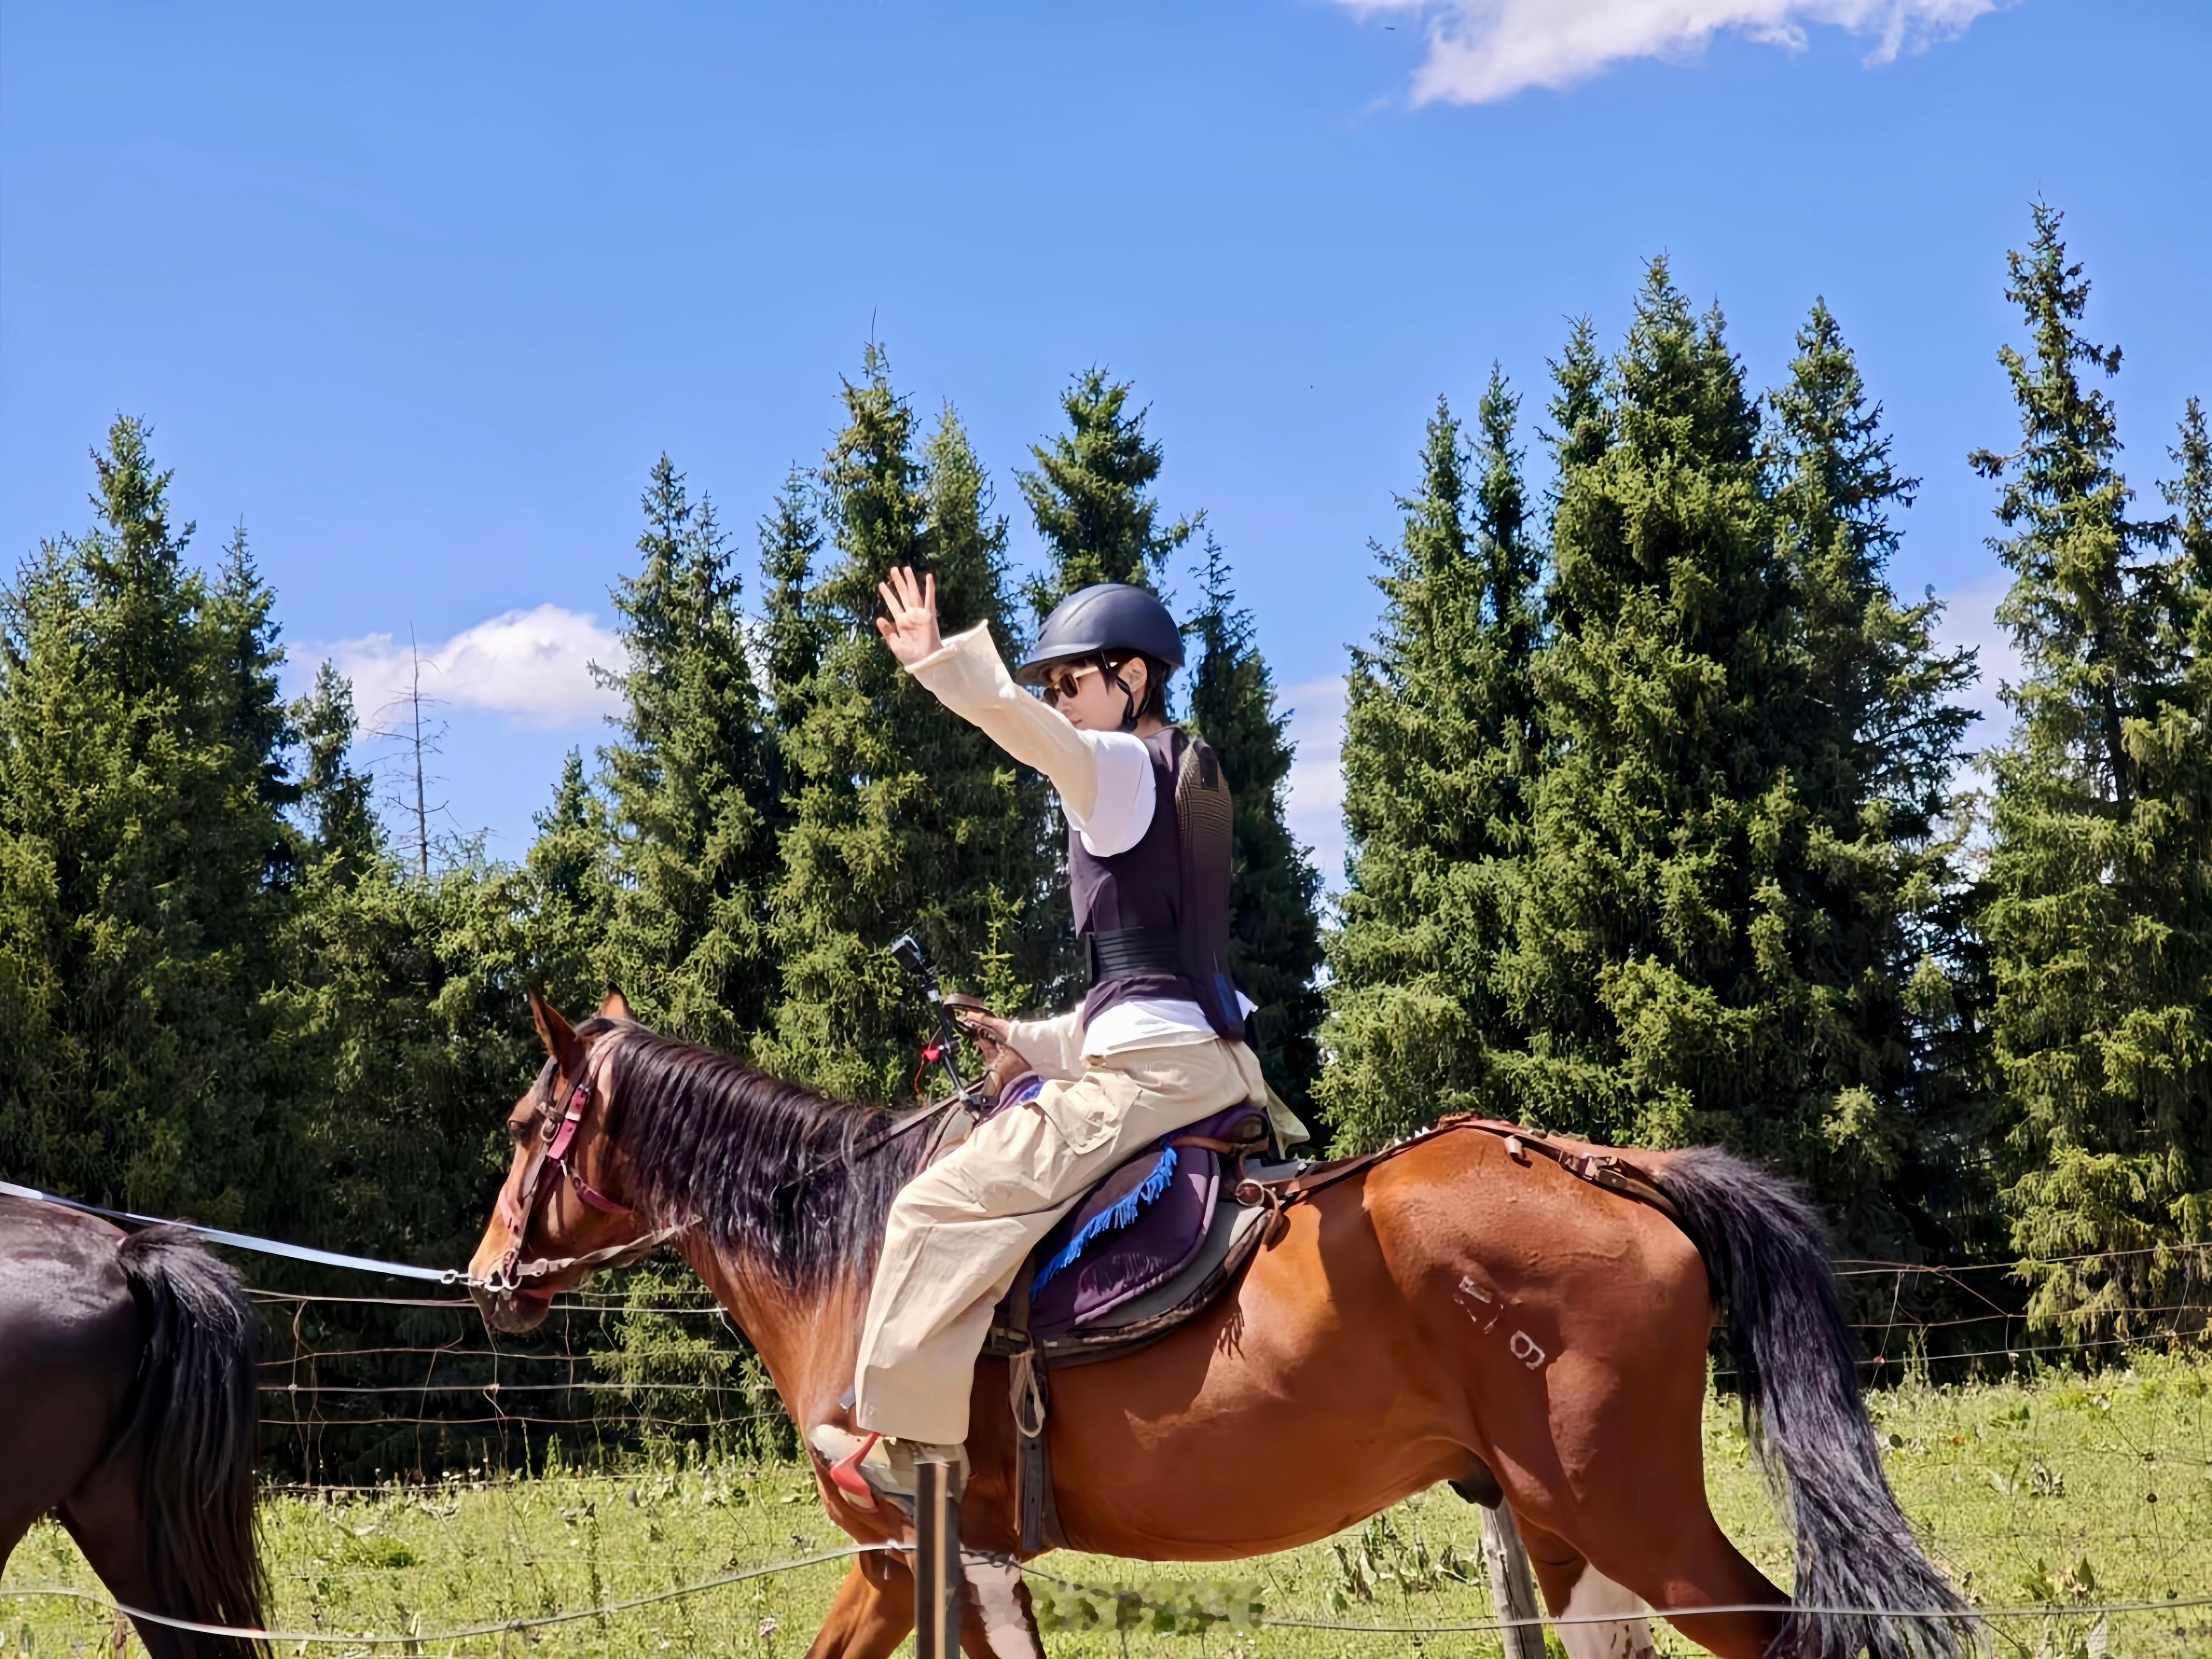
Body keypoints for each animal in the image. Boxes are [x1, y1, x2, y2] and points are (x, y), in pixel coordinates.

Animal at [468, 989, 1971, 1659]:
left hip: (1632, 1516)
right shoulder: (927, 1563)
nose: (486, 1277)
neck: (850, 1242)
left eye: (525, 1129)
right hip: (1565, 1528)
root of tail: (1592, 1160)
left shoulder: (913, 1549)